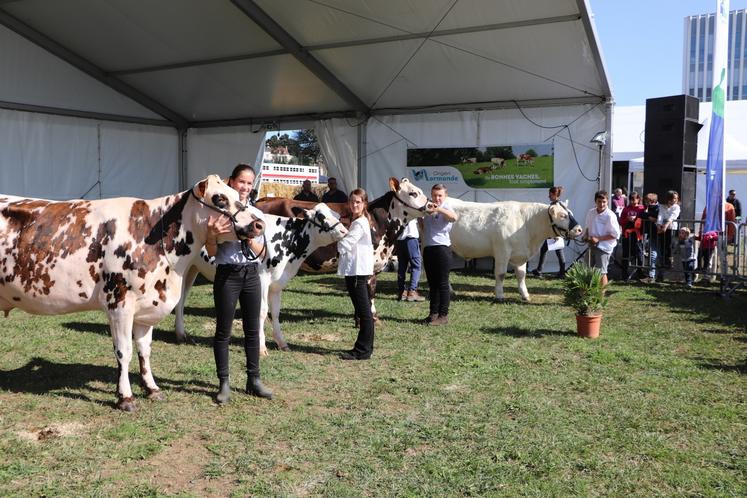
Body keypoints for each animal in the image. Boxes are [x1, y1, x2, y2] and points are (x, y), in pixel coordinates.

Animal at [0, 177, 266, 410]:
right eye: (220, 199)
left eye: (239, 195)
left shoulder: (146, 308)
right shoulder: (119, 305)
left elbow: (144, 350)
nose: (259, 224)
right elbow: (124, 352)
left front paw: (152, 388)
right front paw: (125, 397)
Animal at [450, 197, 584, 300]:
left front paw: (525, 295)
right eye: (563, 215)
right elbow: (500, 274)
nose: (579, 229)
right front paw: (499, 295)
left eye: (571, 213)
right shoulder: (502, 251)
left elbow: (521, 274)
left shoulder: (521, 255)